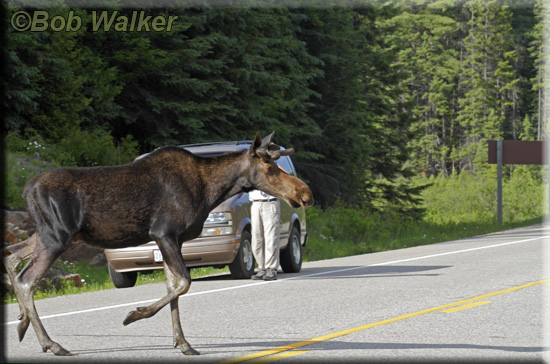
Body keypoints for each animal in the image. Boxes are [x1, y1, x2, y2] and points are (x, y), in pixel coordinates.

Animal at [2, 132, 314, 356]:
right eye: (269, 167)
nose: (305, 193)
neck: (211, 190)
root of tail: (26, 189)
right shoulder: (164, 232)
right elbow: (183, 283)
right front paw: (133, 315)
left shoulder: (170, 238)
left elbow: (173, 288)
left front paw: (183, 343)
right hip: (57, 236)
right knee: (27, 280)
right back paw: (51, 343)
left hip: (47, 235)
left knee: (11, 257)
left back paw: (22, 322)